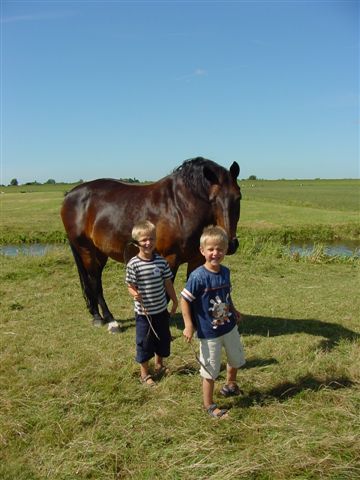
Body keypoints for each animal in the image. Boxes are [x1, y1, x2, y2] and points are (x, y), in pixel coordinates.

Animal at [61, 158, 242, 326]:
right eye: (213, 199)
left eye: (238, 198)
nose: (230, 244)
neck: (181, 207)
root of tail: (70, 195)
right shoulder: (170, 259)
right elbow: (167, 293)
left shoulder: (196, 260)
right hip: (86, 249)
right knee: (93, 281)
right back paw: (105, 318)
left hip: (99, 252)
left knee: (95, 278)